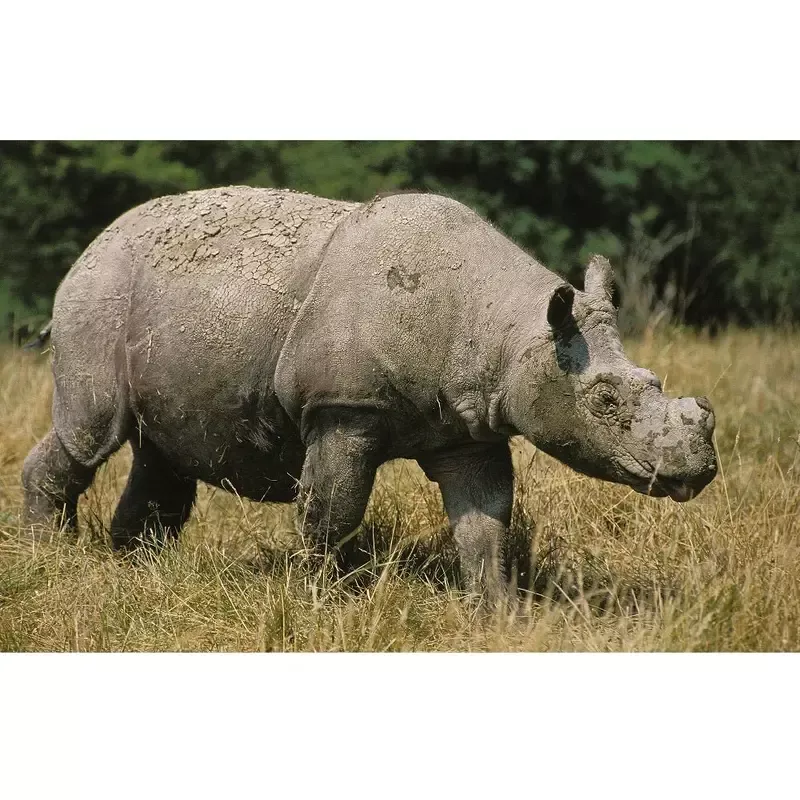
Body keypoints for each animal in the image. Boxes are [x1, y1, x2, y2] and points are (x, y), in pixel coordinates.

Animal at [22, 186, 717, 599]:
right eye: (604, 402)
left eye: (655, 385)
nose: (699, 469)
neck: (507, 329)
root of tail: (91, 246)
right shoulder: (345, 409)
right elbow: (331, 511)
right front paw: (319, 598)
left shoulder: (469, 423)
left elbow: (484, 520)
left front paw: (498, 611)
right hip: (98, 296)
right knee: (91, 433)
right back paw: (49, 557)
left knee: (162, 451)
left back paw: (137, 572)